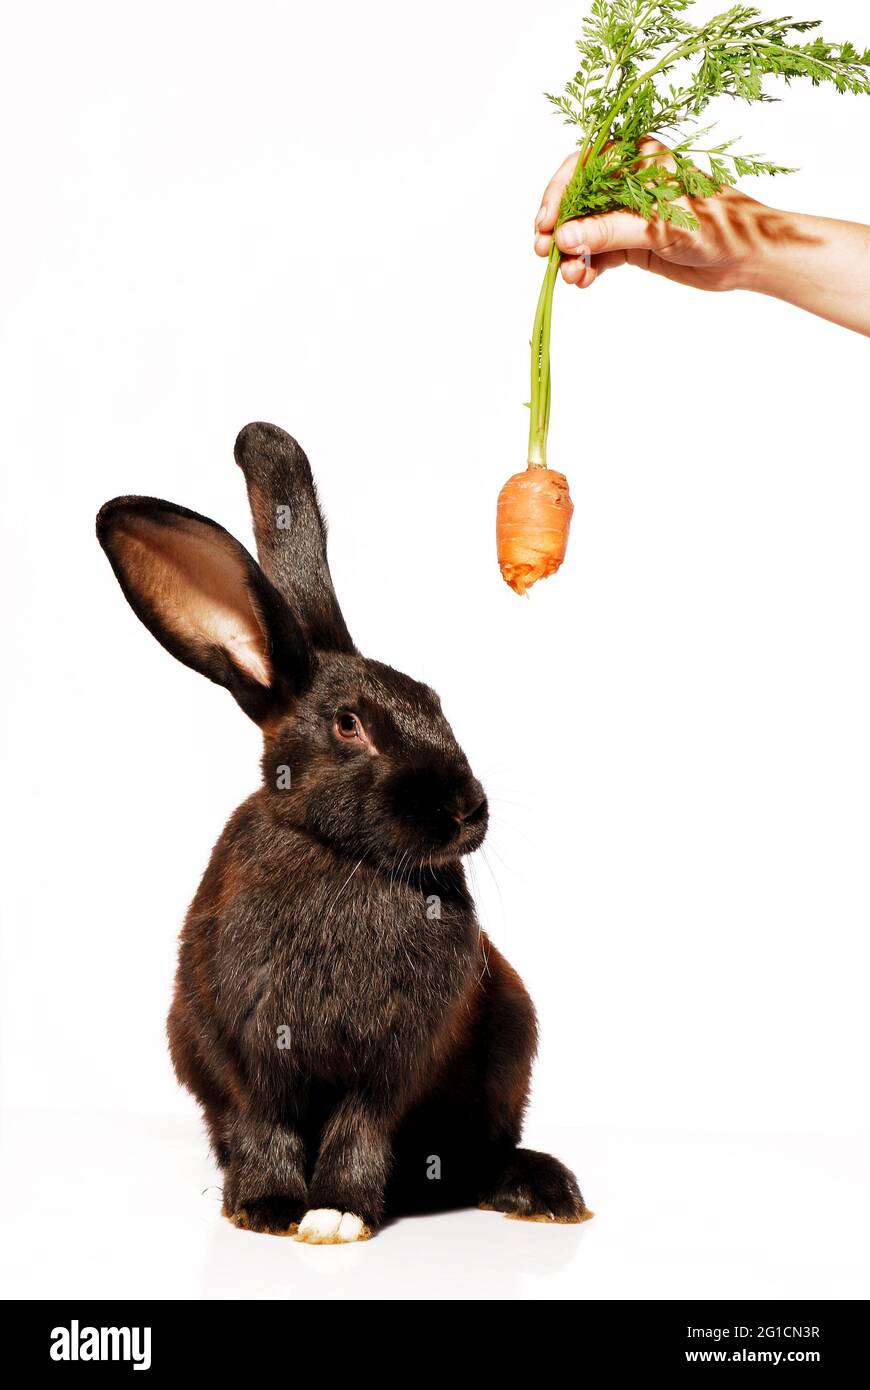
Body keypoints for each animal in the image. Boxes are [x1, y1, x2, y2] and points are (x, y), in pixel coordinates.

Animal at [96, 422, 590, 1242]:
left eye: (435, 701)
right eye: (350, 725)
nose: (468, 810)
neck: (346, 856)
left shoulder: (396, 1062)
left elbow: (363, 1127)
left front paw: (337, 1214)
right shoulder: (238, 1047)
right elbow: (261, 1122)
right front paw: (267, 1210)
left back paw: (542, 1190)